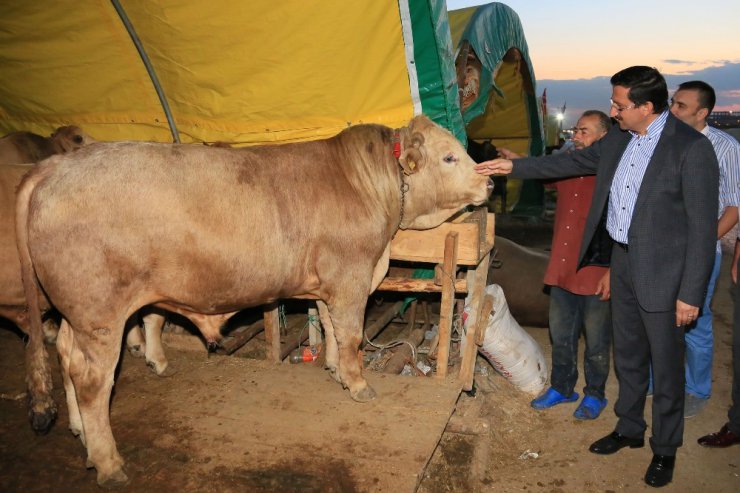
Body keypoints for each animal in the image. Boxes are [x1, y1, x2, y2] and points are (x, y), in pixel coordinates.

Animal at [17, 114, 492, 484]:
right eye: (449, 156)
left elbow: (331, 326)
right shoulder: (351, 275)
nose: (488, 182)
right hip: (99, 311)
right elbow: (352, 334)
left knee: (66, 355)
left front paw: (335, 369)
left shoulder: (329, 282)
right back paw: (108, 462)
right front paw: (358, 384)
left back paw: (79, 430)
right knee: (92, 380)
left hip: (76, 313)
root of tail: (53, 166)